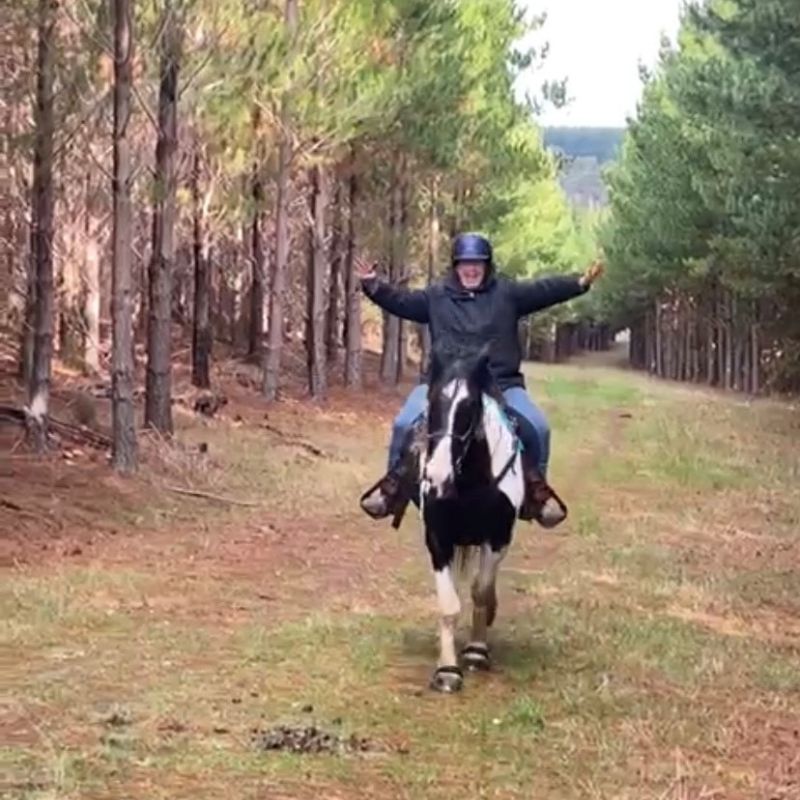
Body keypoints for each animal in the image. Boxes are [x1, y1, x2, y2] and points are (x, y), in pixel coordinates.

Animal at [418, 347, 524, 693]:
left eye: (470, 406)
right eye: (431, 399)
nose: (437, 475)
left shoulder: (497, 536)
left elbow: (480, 591)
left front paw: (477, 650)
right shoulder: (437, 539)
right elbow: (449, 605)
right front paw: (448, 670)